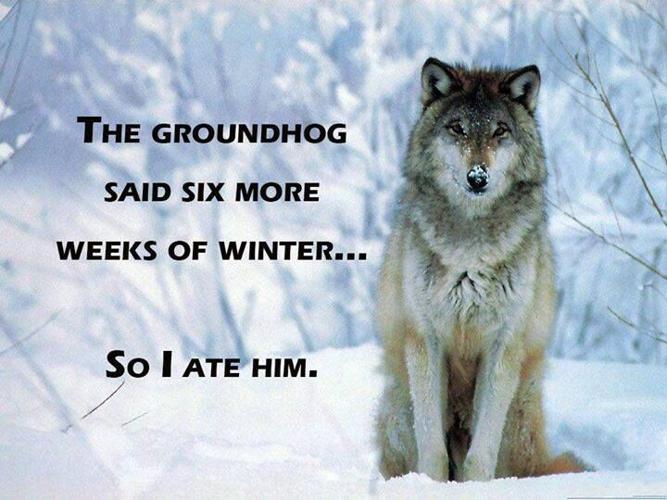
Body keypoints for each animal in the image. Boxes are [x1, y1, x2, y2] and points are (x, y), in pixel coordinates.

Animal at [375, 58, 585, 482]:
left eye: (499, 131)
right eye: (457, 128)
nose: (478, 177)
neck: (470, 250)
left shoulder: (503, 345)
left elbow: (480, 456)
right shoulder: (425, 340)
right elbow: (432, 451)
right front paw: (428, 486)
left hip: (517, 414)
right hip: (400, 403)